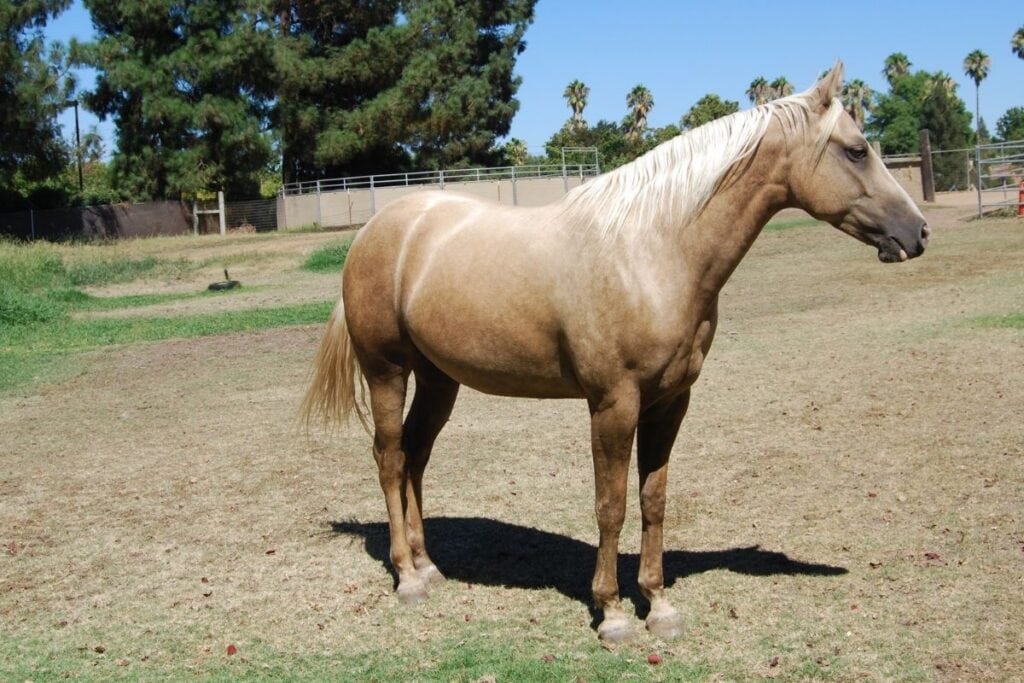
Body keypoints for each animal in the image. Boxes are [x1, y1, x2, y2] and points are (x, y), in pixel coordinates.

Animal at [301, 62, 929, 643]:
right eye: (856, 150)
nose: (918, 232)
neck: (653, 250)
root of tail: (377, 229)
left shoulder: (669, 403)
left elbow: (653, 499)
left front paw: (659, 604)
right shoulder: (613, 404)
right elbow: (612, 504)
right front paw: (613, 613)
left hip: (438, 380)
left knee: (416, 456)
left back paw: (429, 565)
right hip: (386, 369)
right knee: (389, 458)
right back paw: (407, 577)